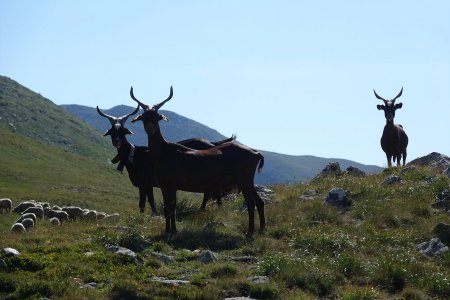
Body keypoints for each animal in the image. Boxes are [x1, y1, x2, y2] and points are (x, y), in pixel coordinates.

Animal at [96, 105, 234, 213]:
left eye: (123, 131)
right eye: (112, 131)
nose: (117, 141)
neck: (135, 154)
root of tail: (212, 144)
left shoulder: (143, 183)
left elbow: (142, 204)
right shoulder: (150, 185)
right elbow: (151, 202)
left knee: (212, 192)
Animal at [129, 85, 264, 236]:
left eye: (157, 117)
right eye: (143, 117)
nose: (150, 128)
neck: (163, 152)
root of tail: (256, 152)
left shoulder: (172, 185)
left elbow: (172, 208)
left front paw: (173, 231)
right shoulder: (163, 186)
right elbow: (166, 208)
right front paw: (167, 230)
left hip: (244, 180)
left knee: (251, 203)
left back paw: (250, 232)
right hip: (247, 182)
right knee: (259, 202)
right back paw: (261, 229)